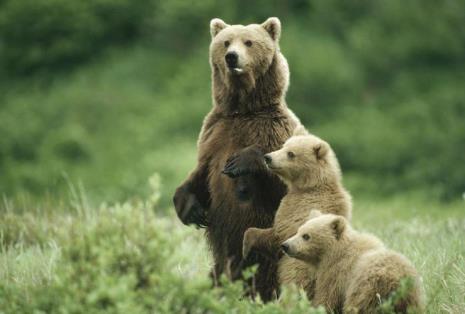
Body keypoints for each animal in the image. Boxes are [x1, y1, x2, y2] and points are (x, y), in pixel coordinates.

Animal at [172, 17, 302, 302]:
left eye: (249, 42)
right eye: (225, 42)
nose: (232, 57)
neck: (243, 110)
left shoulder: (275, 131)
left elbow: (287, 183)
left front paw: (242, 162)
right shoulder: (213, 134)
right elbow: (200, 175)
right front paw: (191, 208)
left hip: (269, 254)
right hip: (222, 264)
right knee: (216, 276)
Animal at [241, 134, 350, 298]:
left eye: (291, 153)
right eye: (283, 146)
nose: (268, 158)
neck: (309, 186)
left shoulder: (297, 208)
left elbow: (276, 236)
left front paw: (245, 249)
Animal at [280, 211, 422, 314]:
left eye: (306, 236)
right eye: (298, 231)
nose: (285, 245)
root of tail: (397, 283)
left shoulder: (336, 274)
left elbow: (327, 297)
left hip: (366, 287)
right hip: (412, 297)